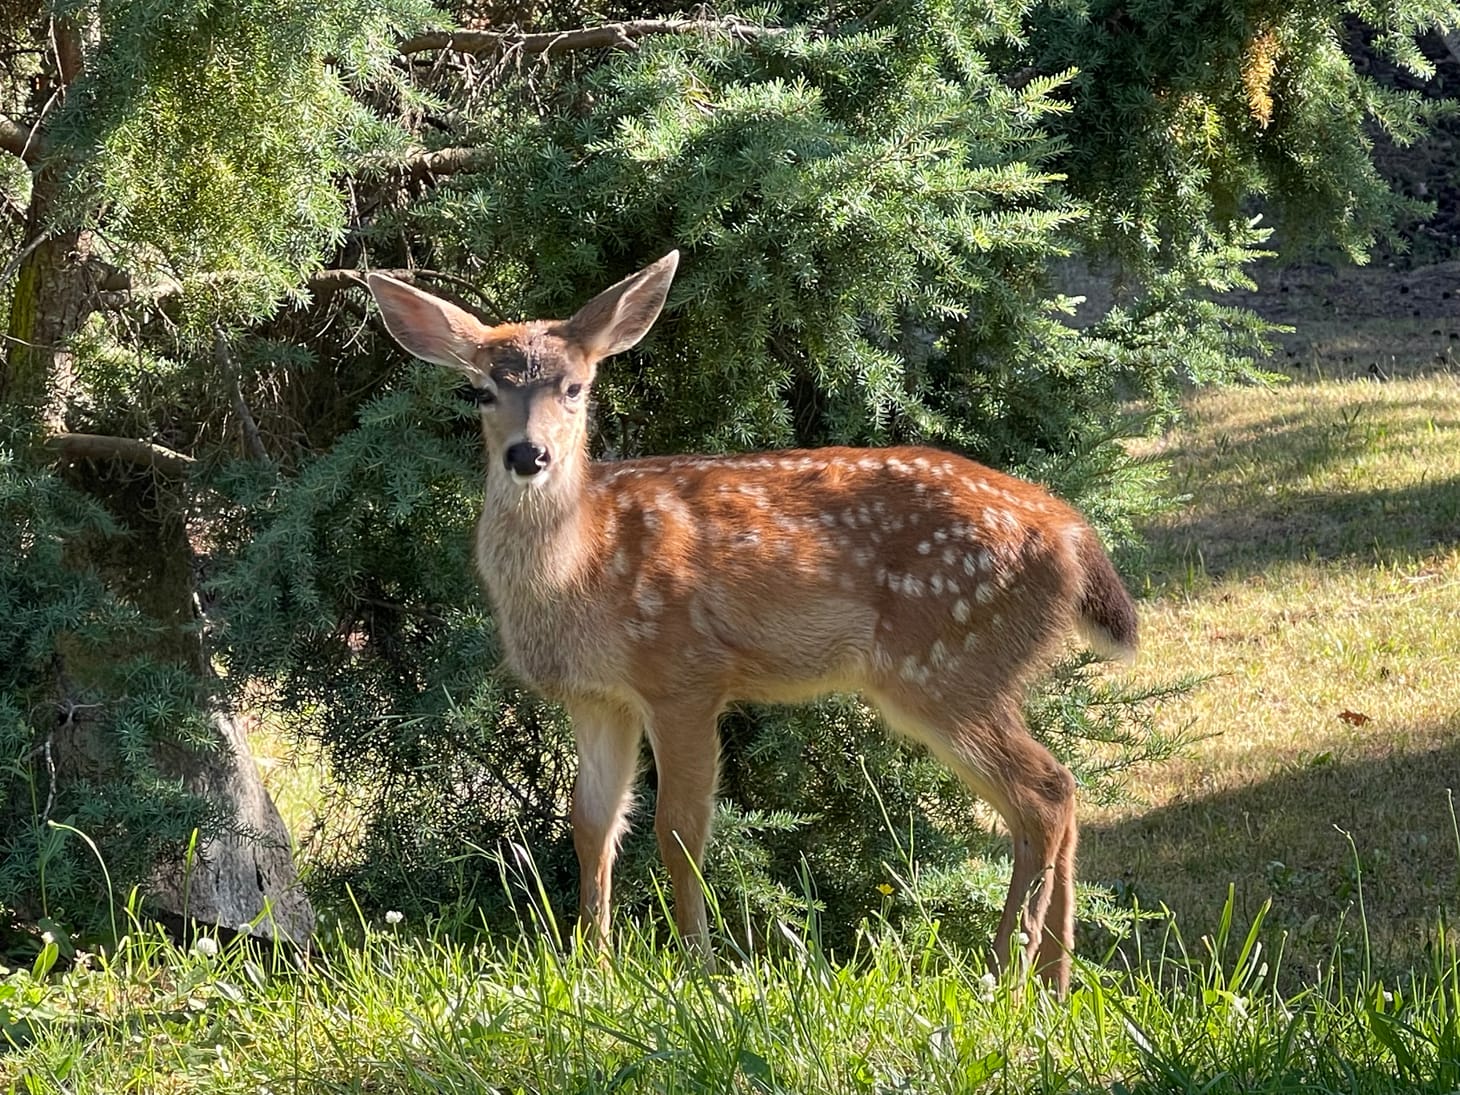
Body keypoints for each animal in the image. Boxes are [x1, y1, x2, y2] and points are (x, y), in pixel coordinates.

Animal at [367, 252, 1138, 998]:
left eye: (576, 387)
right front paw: (593, 966)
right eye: (480, 390)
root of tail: (1073, 535)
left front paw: (697, 968)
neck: (582, 568)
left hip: (947, 664)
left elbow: (680, 830)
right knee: (1064, 793)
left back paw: (1005, 973)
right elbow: (592, 824)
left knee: (1043, 795)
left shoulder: (683, 674)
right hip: (974, 672)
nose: (528, 455)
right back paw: (1055, 985)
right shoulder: (598, 698)